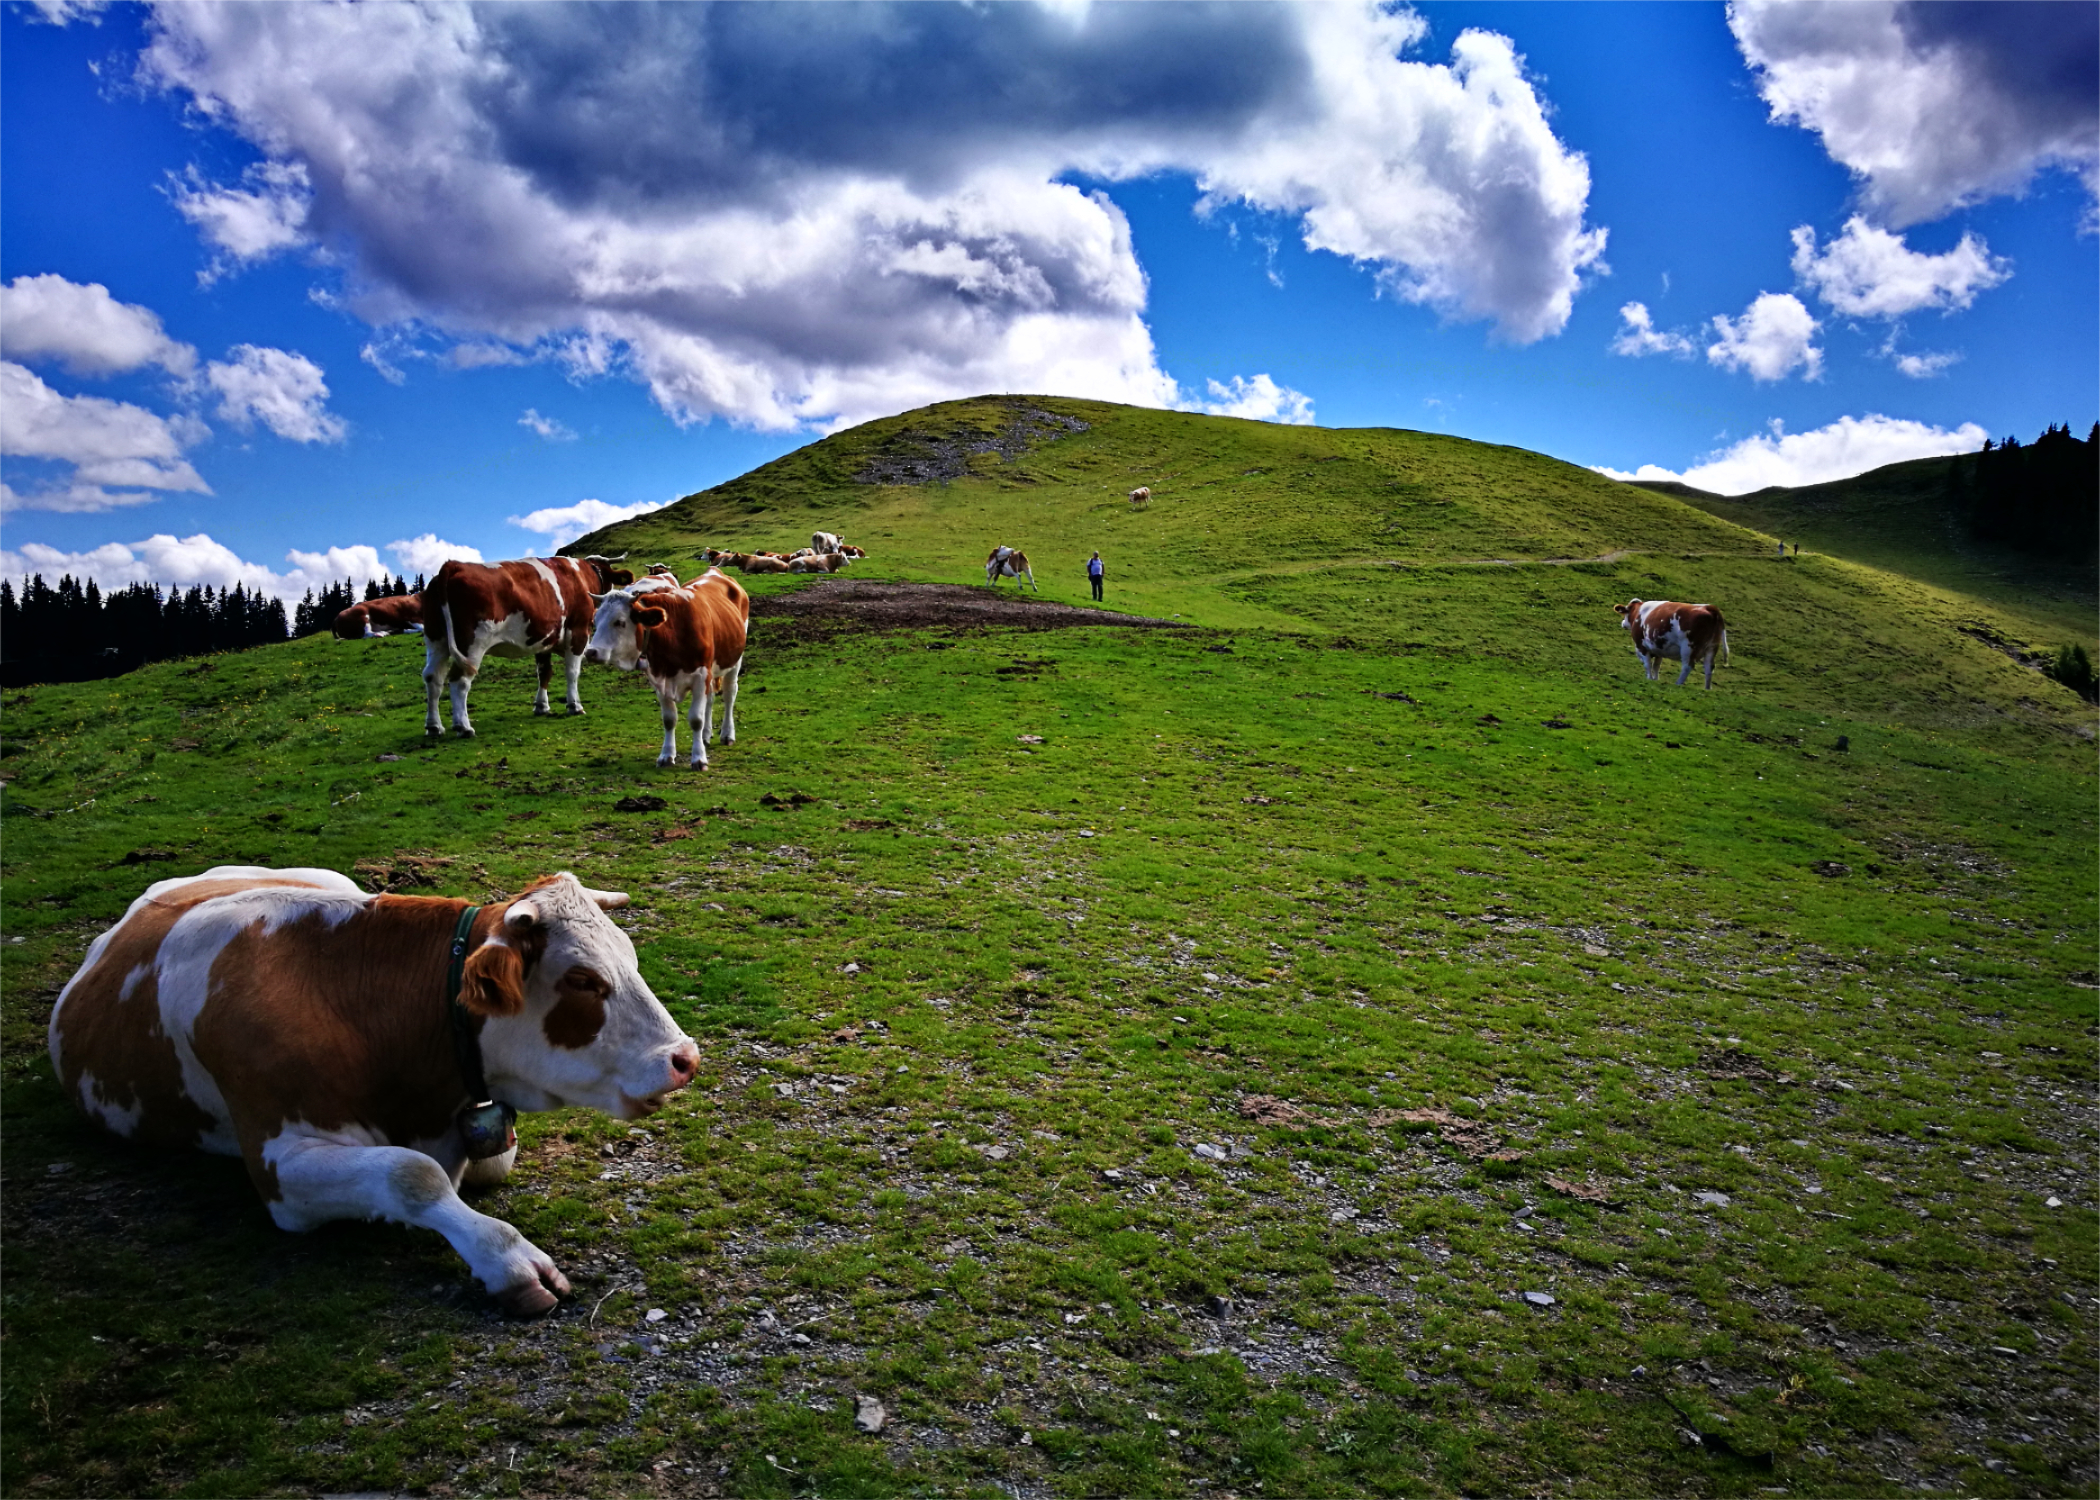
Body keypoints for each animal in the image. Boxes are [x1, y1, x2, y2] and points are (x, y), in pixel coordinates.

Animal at [49, 865, 701, 1310]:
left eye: (629, 957)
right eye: (582, 980)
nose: (685, 1058)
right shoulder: (278, 1165)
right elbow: (411, 1173)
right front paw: (508, 1258)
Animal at [419, 550, 630, 735]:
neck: (582, 576)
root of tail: (454, 565)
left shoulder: (545, 638)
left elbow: (544, 672)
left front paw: (541, 706)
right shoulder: (578, 632)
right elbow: (572, 672)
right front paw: (574, 706)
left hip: (436, 639)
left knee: (432, 677)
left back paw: (434, 726)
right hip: (472, 643)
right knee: (459, 680)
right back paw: (463, 727)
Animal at [588, 567, 751, 764]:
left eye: (620, 622)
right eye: (595, 621)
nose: (591, 652)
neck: (674, 631)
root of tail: (715, 570)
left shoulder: (700, 676)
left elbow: (696, 719)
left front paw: (699, 759)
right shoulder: (660, 677)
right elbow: (669, 719)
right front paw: (666, 755)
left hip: (734, 660)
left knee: (729, 694)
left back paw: (727, 734)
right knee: (711, 698)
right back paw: (706, 735)